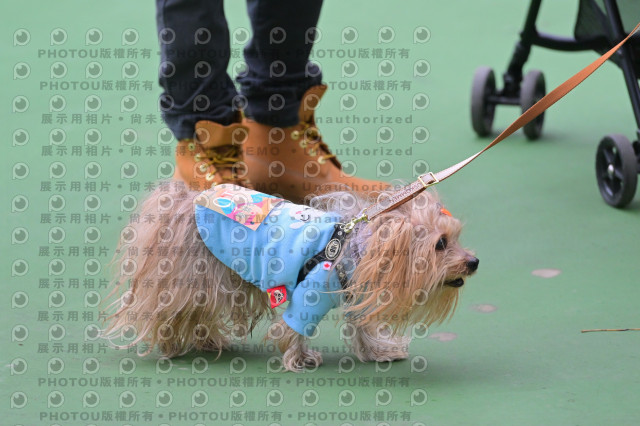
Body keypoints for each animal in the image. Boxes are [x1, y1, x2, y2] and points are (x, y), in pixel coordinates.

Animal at [102, 180, 478, 372]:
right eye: (440, 244)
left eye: (457, 237)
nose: (473, 262)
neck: (358, 248)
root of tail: (183, 200)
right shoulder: (310, 294)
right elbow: (295, 329)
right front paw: (300, 359)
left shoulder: (355, 292)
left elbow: (362, 326)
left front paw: (378, 351)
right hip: (193, 275)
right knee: (172, 310)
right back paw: (170, 345)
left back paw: (207, 340)